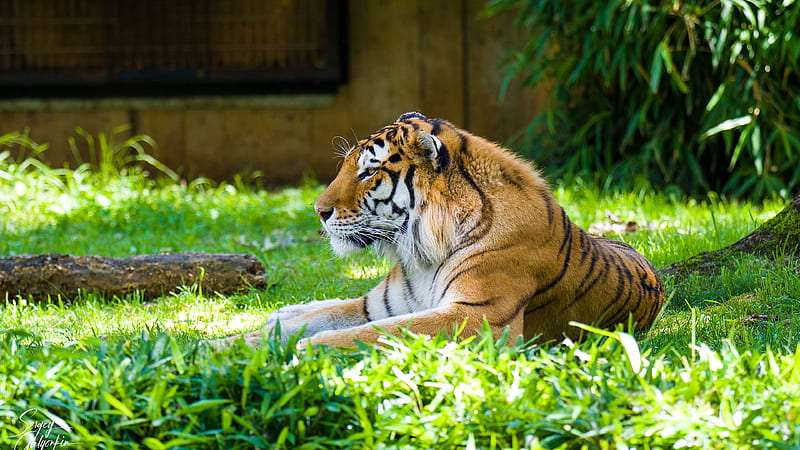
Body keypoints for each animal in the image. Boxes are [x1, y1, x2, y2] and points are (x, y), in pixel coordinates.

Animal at [209, 111, 664, 348]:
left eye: (369, 171)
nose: (318, 211)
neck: (421, 254)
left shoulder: (478, 317)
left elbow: (376, 333)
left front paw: (308, 350)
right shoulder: (383, 305)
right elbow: (300, 325)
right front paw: (212, 346)